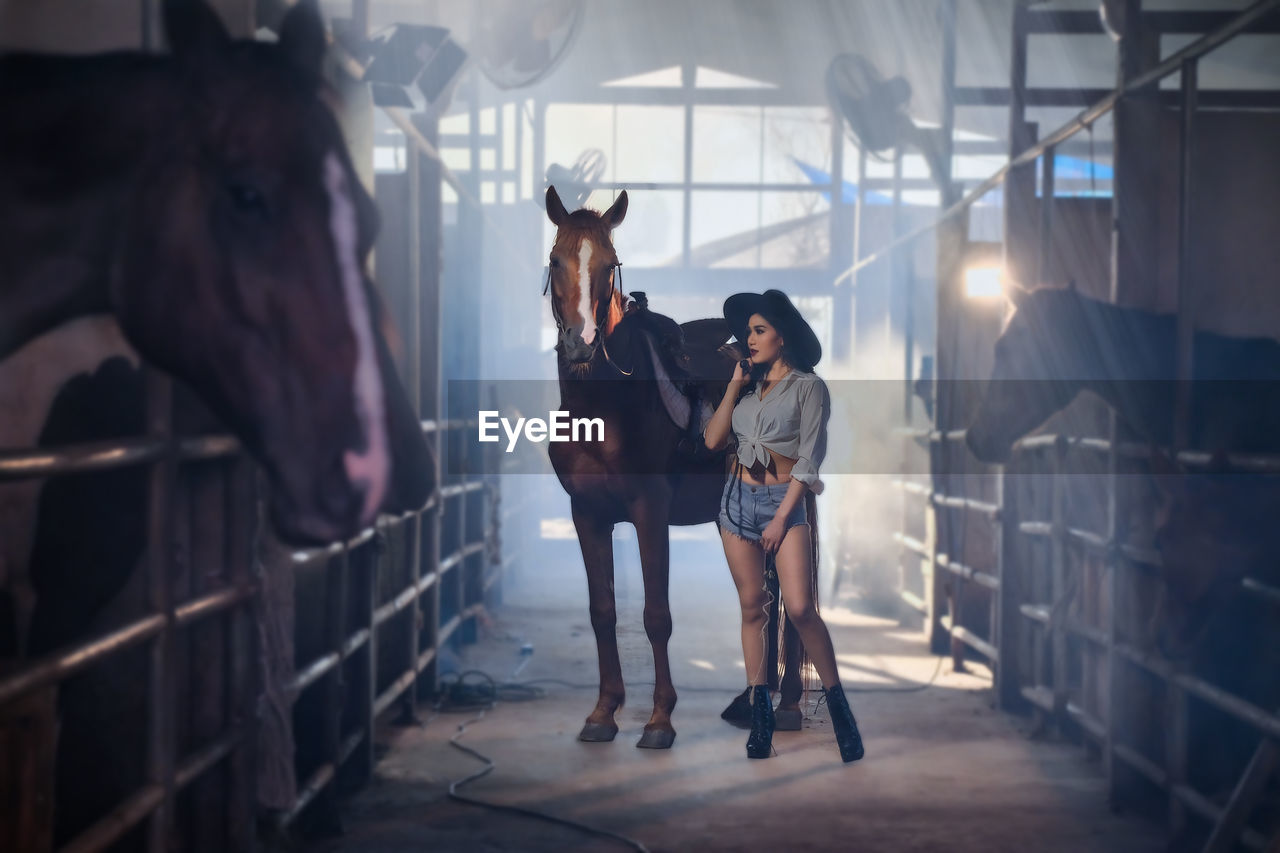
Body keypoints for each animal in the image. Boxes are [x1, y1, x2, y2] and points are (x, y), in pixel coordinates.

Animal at [540, 184, 808, 742]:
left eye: (610, 264)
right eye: (556, 260)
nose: (581, 341)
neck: (604, 408)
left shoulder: (650, 511)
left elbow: (656, 615)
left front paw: (660, 719)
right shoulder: (586, 515)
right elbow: (603, 611)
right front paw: (603, 712)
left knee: (790, 602)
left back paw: (790, 703)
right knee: (769, 598)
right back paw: (753, 700)